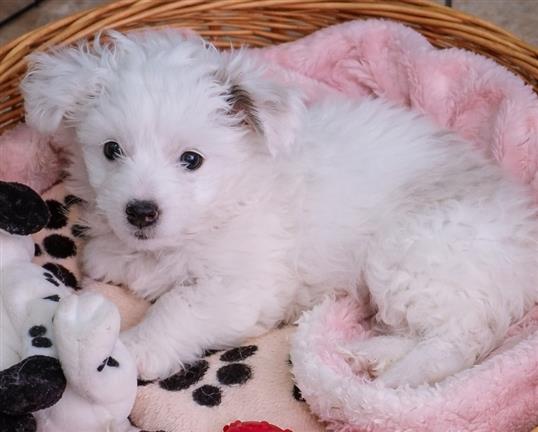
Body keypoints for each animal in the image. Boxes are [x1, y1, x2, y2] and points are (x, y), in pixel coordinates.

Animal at [21, 30, 538, 386]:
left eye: (192, 160)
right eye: (111, 150)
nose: (141, 212)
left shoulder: (243, 285)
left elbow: (179, 305)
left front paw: (137, 347)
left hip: (416, 254)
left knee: (460, 338)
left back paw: (396, 381)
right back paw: (374, 353)